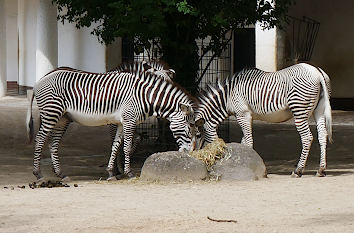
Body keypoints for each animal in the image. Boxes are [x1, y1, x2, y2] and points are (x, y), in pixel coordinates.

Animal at [27, 66, 196, 181]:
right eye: (189, 127)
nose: (190, 152)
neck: (143, 96)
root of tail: (38, 82)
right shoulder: (129, 120)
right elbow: (126, 147)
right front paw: (129, 172)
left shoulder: (121, 122)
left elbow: (115, 145)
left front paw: (111, 172)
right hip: (51, 113)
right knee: (40, 139)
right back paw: (38, 174)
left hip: (62, 118)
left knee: (53, 143)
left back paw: (60, 174)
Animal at [195, 62, 334, 177]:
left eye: (197, 135)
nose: (194, 153)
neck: (227, 97)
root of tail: (316, 72)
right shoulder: (248, 117)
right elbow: (244, 140)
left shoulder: (242, 114)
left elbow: (248, 141)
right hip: (319, 109)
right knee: (322, 135)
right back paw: (321, 170)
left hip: (299, 108)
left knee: (307, 138)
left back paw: (298, 171)